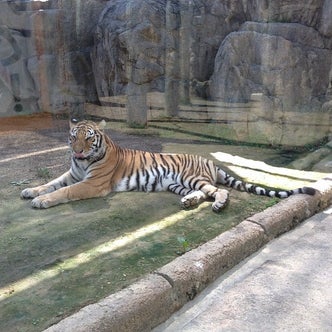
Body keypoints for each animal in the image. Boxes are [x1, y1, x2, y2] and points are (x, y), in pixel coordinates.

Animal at [20, 120, 316, 211]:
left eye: (88, 137)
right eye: (73, 137)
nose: (77, 151)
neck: (82, 164)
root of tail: (209, 160)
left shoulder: (92, 183)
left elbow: (64, 191)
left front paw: (41, 201)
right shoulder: (73, 174)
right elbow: (51, 183)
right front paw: (30, 191)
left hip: (192, 177)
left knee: (220, 191)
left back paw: (219, 205)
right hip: (177, 183)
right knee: (203, 193)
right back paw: (189, 202)